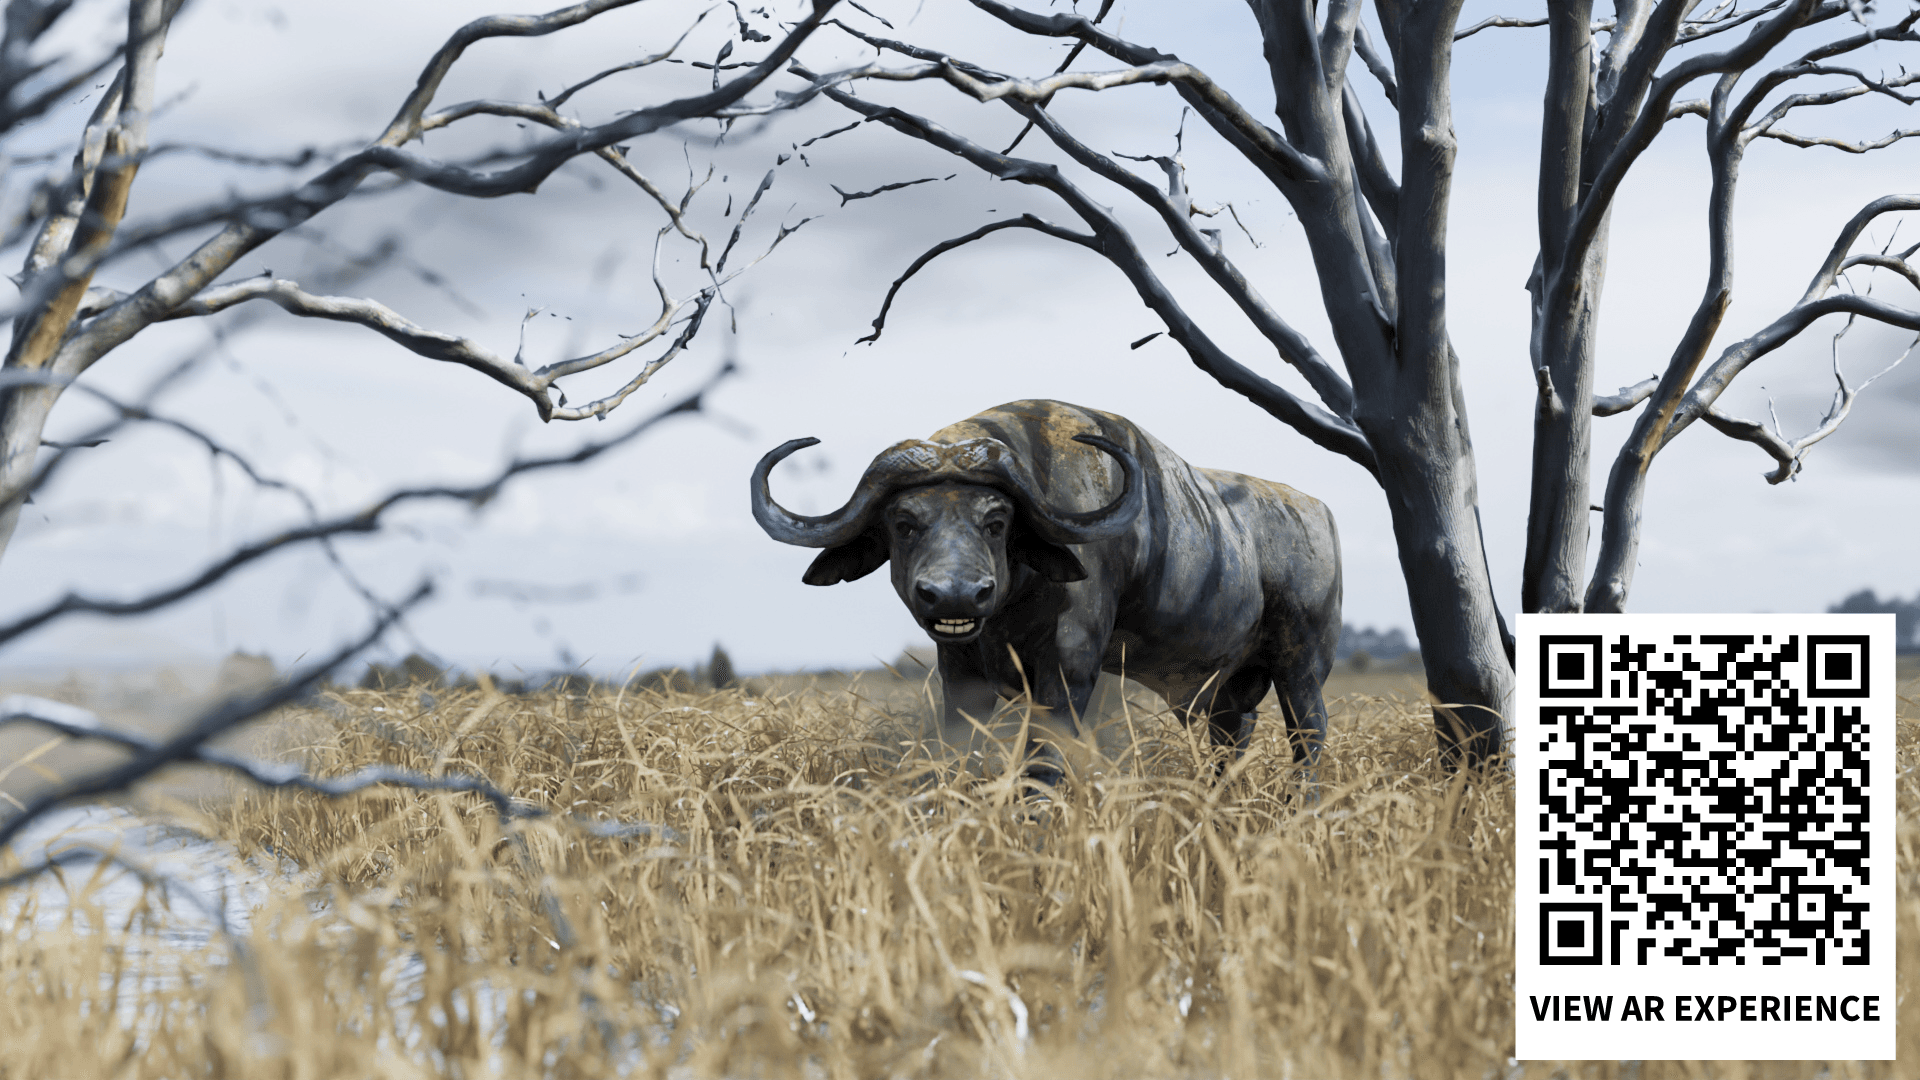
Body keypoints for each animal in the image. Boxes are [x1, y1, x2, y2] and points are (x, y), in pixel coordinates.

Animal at [750, 400, 1341, 783]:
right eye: (904, 523)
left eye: (996, 522)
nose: (956, 596)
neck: (1012, 605)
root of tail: (1319, 510)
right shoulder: (960, 672)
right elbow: (958, 753)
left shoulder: (1069, 670)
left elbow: (1043, 766)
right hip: (1227, 689)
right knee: (1232, 739)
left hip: (1302, 664)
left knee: (1309, 737)